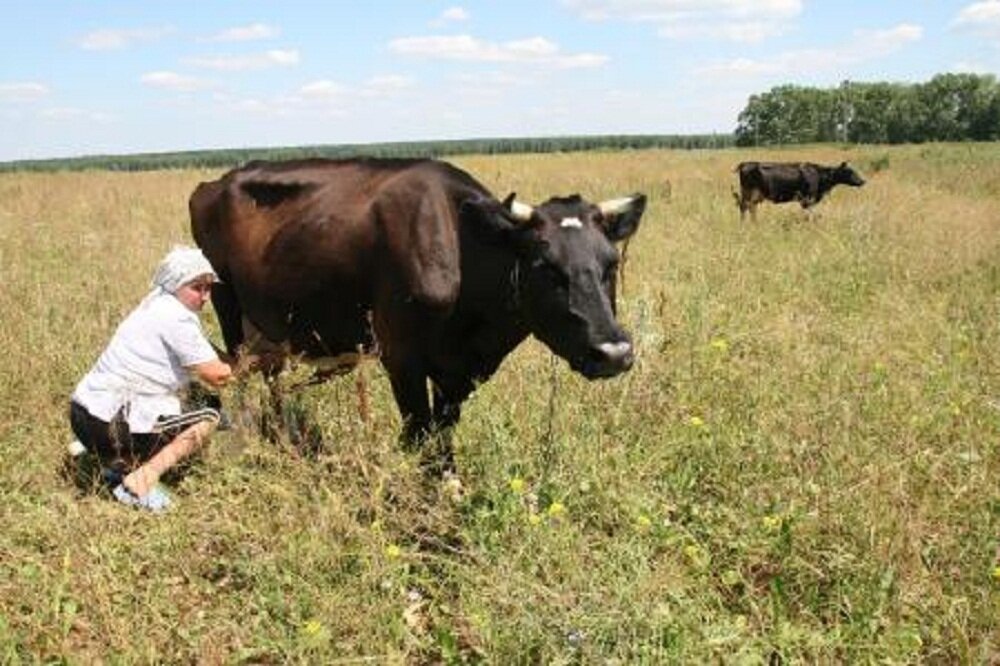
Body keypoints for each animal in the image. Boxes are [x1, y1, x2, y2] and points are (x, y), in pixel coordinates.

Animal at [190, 157, 644, 466]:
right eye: (544, 266)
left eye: (611, 264)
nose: (614, 353)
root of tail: (215, 183)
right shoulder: (401, 357)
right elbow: (419, 436)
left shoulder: (459, 370)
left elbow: (442, 436)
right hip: (226, 303)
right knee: (241, 378)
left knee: (272, 377)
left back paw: (281, 434)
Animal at [736, 160, 868, 220]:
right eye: (850, 172)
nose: (862, 181)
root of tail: (745, 163)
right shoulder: (807, 199)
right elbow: (810, 215)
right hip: (750, 193)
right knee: (746, 207)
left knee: (749, 208)